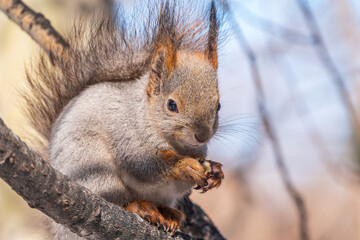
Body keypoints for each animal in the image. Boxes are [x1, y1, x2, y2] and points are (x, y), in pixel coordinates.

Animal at [23, 0, 224, 238]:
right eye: (172, 105)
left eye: (218, 105)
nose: (202, 136)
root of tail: (60, 229)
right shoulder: (125, 131)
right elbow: (143, 166)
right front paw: (184, 166)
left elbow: (180, 185)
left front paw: (216, 172)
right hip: (93, 168)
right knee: (119, 201)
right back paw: (140, 207)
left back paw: (169, 214)